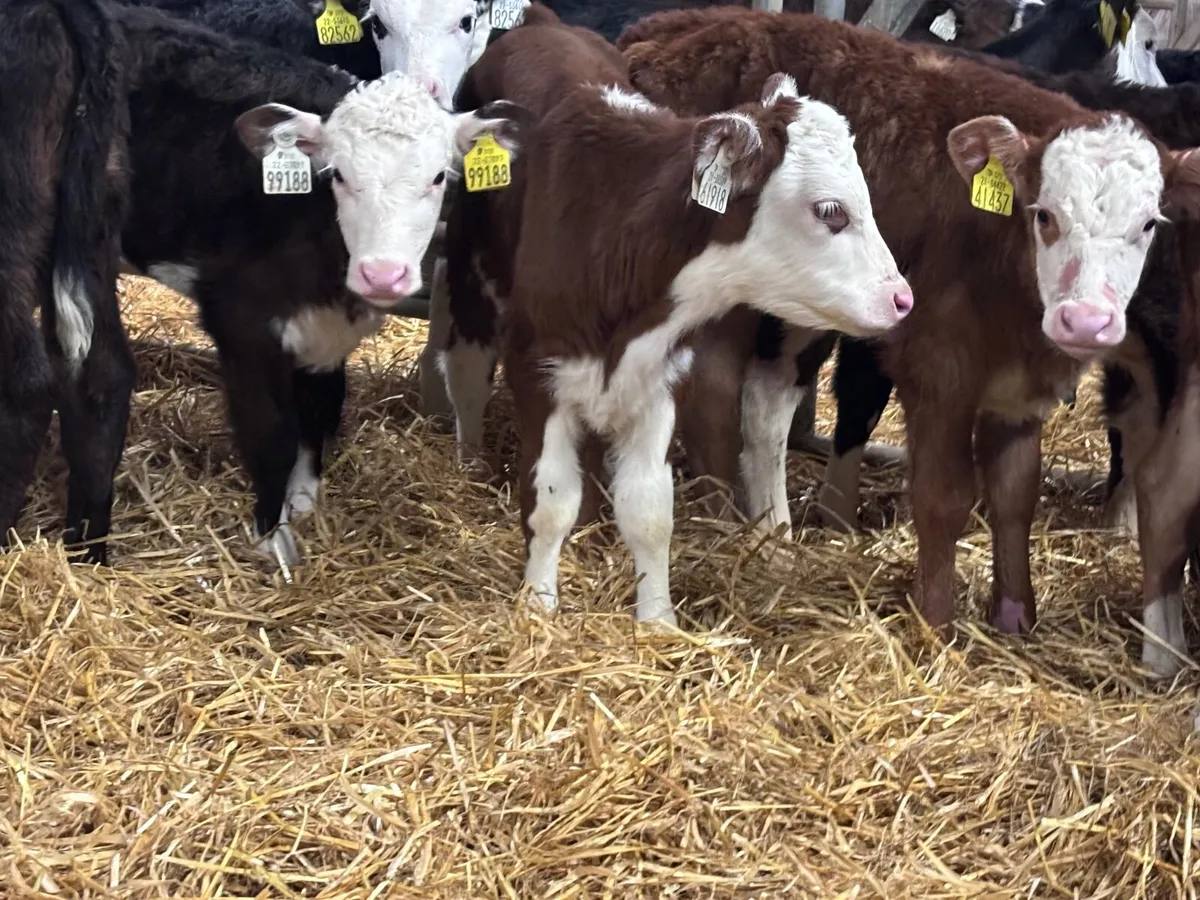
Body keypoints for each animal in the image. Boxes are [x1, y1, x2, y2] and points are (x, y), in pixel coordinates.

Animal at [114, 6, 522, 567]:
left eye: (441, 177)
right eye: (339, 175)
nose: (383, 274)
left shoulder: (326, 332)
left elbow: (323, 410)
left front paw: (305, 498)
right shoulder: (240, 323)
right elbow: (271, 433)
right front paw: (272, 538)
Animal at [440, 7, 910, 625]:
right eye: (829, 210)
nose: (902, 298)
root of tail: (541, 21)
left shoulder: (660, 379)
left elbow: (649, 512)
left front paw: (658, 621)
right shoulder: (538, 374)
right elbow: (549, 503)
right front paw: (538, 607)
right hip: (470, 271)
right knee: (467, 372)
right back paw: (467, 463)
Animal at [616, 8, 1200, 637]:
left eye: (1149, 224)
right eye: (1044, 215)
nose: (1086, 320)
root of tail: (669, 29)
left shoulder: (1019, 391)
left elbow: (1015, 493)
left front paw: (1014, 617)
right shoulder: (939, 364)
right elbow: (943, 495)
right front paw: (935, 624)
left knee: (764, 404)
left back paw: (772, 532)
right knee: (716, 394)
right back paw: (726, 522)